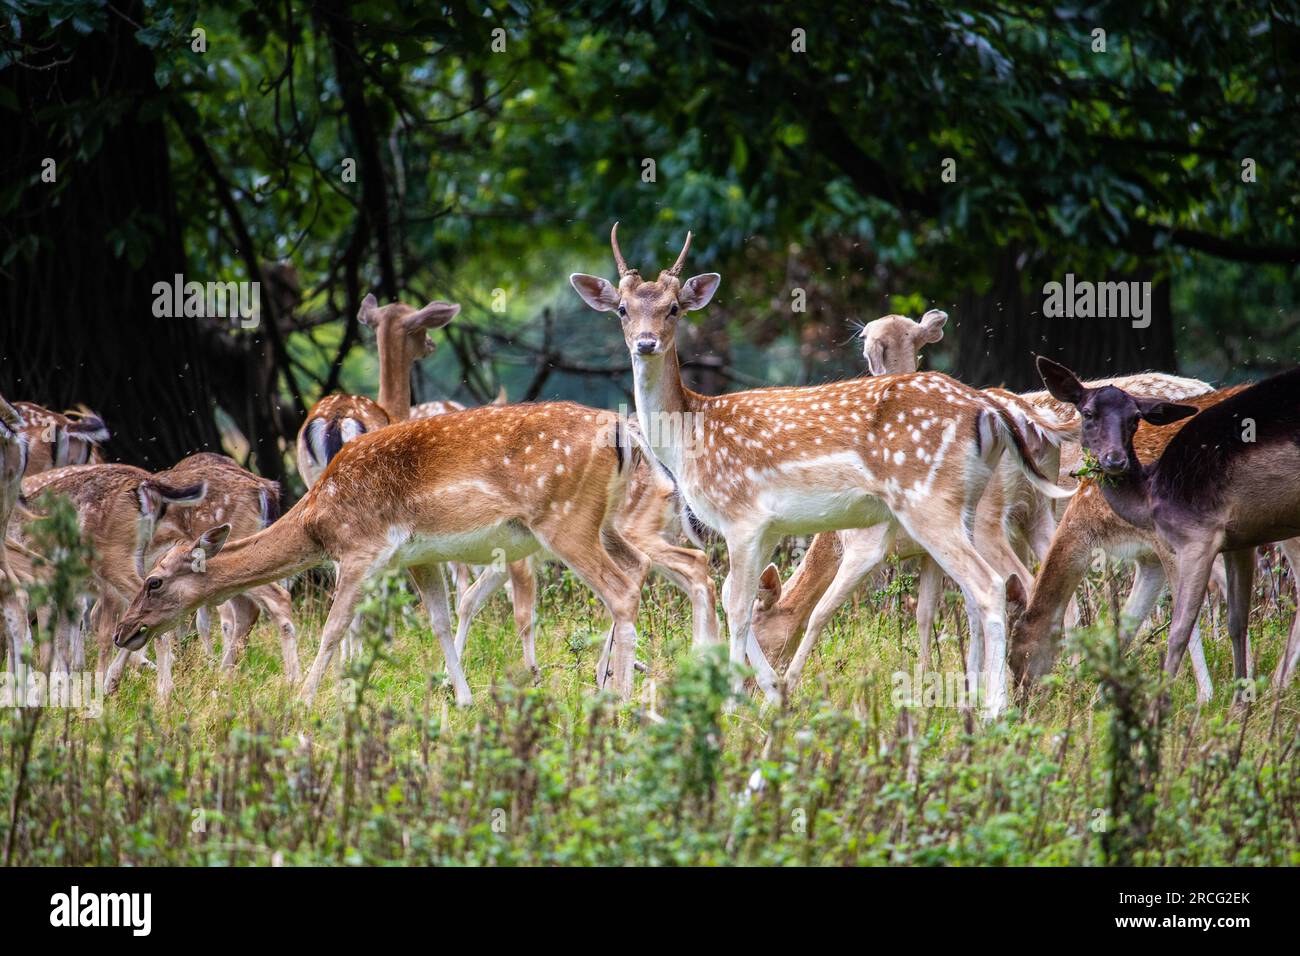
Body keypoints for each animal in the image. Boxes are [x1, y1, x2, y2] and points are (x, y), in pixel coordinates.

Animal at [110, 400, 660, 707]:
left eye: (154, 581)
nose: (123, 631)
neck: (317, 522)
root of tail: (624, 431)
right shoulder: (420, 557)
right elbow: (440, 622)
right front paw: (463, 698)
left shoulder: (360, 550)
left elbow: (333, 627)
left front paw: (304, 699)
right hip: (603, 519)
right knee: (639, 566)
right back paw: (609, 682)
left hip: (565, 520)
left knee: (619, 589)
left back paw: (618, 699)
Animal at [566, 226, 1066, 717]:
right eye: (623, 309)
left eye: (673, 308)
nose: (646, 342)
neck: (690, 435)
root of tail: (990, 410)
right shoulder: (767, 527)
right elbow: (734, 596)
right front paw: (770, 692)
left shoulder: (741, 518)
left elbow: (738, 607)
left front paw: (733, 704)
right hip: (967, 504)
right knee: (979, 593)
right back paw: (969, 702)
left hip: (929, 501)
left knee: (990, 585)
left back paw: (995, 711)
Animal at [1034, 356, 1300, 702]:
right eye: (1087, 413)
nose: (1029, 694)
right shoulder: (1150, 559)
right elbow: (1131, 619)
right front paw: (1101, 695)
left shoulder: (1183, 542)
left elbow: (1186, 620)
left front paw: (1206, 695)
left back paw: (1278, 686)